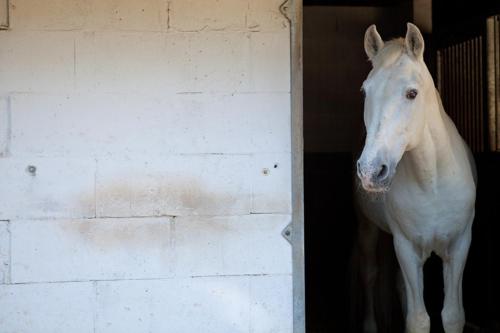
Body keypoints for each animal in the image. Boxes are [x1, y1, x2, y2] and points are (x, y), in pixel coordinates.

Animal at [356, 23, 476, 332]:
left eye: (412, 93)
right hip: (368, 227)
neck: (431, 182)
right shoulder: (406, 248)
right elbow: (418, 319)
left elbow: (453, 315)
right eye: (365, 91)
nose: (371, 170)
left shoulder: (459, 245)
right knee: (369, 274)